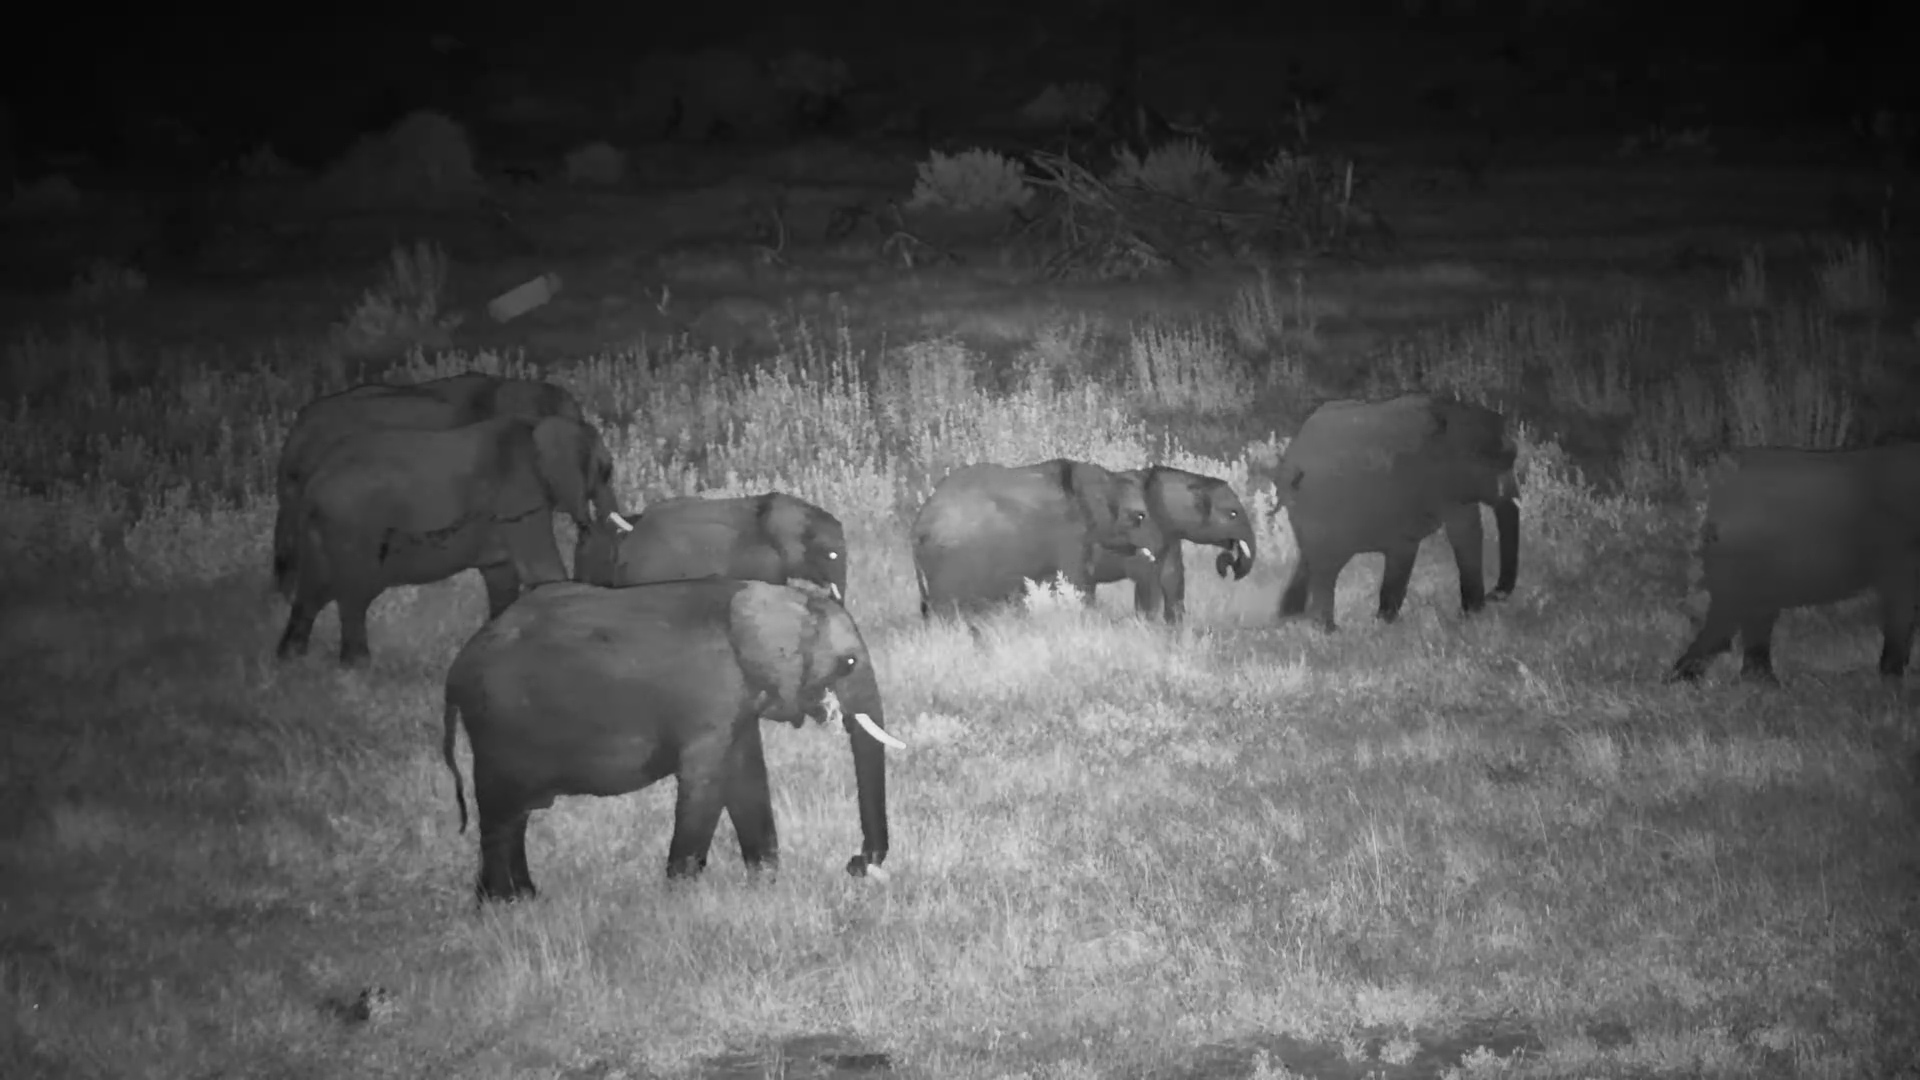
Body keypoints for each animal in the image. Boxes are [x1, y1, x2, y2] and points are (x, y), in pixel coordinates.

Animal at [276, 414, 629, 666]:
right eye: (606, 471)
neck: (539, 426)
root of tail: (312, 483)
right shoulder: (520, 498)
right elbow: (544, 572)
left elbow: (502, 579)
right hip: (353, 528)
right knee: (352, 595)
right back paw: (357, 667)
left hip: (322, 533)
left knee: (312, 592)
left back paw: (291, 661)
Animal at [440, 578, 903, 900]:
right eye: (848, 663)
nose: (855, 864)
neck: (768, 595)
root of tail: (456, 670)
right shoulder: (710, 700)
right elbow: (707, 782)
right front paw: (681, 900)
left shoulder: (737, 701)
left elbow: (746, 776)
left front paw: (763, 885)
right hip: (497, 731)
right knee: (500, 817)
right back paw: (505, 906)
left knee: (511, 818)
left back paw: (522, 900)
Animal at [1086, 466, 1257, 623]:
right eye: (1233, 514)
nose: (1229, 572)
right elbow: (1148, 579)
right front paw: (1147, 626)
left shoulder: (1170, 537)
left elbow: (1172, 578)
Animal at [1266, 393, 1519, 631]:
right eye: (1502, 460)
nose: (1496, 595)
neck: (1454, 413)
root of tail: (1292, 460)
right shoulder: (1442, 483)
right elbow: (1463, 533)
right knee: (1327, 568)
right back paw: (1327, 630)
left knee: (1309, 559)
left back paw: (1289, 617)